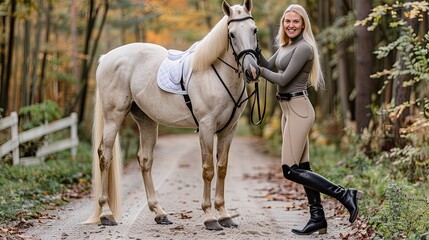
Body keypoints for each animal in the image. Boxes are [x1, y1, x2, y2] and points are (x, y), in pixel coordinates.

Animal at [83, 0, 258, 231]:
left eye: (254, 30)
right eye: (231, 34)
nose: (252, 71)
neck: (216, 74)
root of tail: (106, 58)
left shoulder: (229, 129)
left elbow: (221, 168)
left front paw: (224, 214)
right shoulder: (206, 127)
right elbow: (208, 169)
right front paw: (210, 217)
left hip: (146, 120)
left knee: (145, 160)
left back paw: (159, 213)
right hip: (114, 116)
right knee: (105, 156)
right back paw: (106, 213)